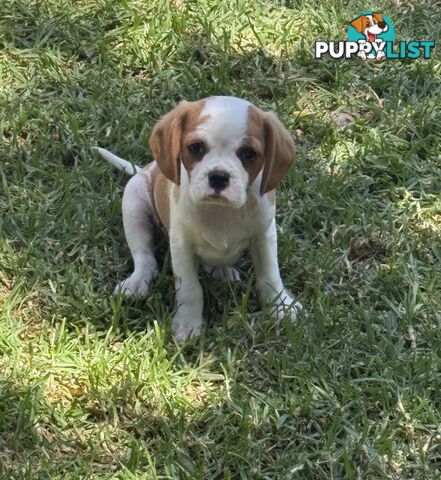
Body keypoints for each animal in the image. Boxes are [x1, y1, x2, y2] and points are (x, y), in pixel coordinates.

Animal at [96, 94, 300, 342]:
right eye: (195, 148)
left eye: (249, 154)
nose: (219, 176)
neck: (220, 211)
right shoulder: (181, 245)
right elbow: (190, 289)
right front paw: (188, 323)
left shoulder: (264, 235)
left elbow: (270, 274)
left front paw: (281, 306)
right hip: (134, 202)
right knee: (145, 258)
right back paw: (137, 282)